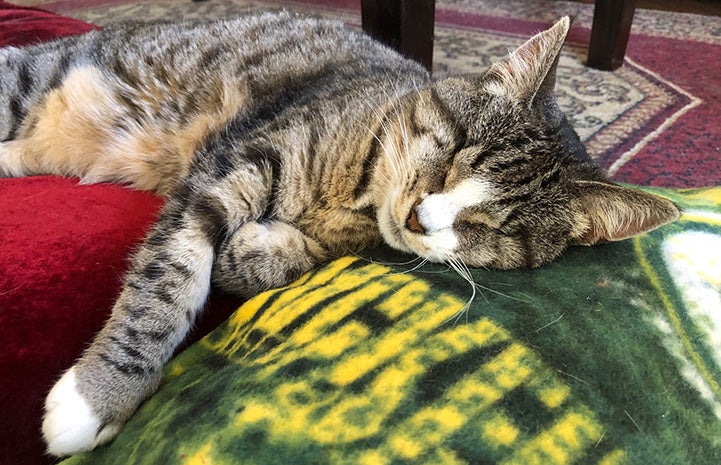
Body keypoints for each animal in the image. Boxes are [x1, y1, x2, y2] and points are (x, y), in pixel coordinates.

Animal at [0, 11, 680, 456]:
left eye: (494, 226)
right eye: (456, 151)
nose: (419, 218)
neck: (357, 193)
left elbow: (285, 260)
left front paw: (253, 254)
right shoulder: (230, 164)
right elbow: (170, 281)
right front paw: (100, 394)